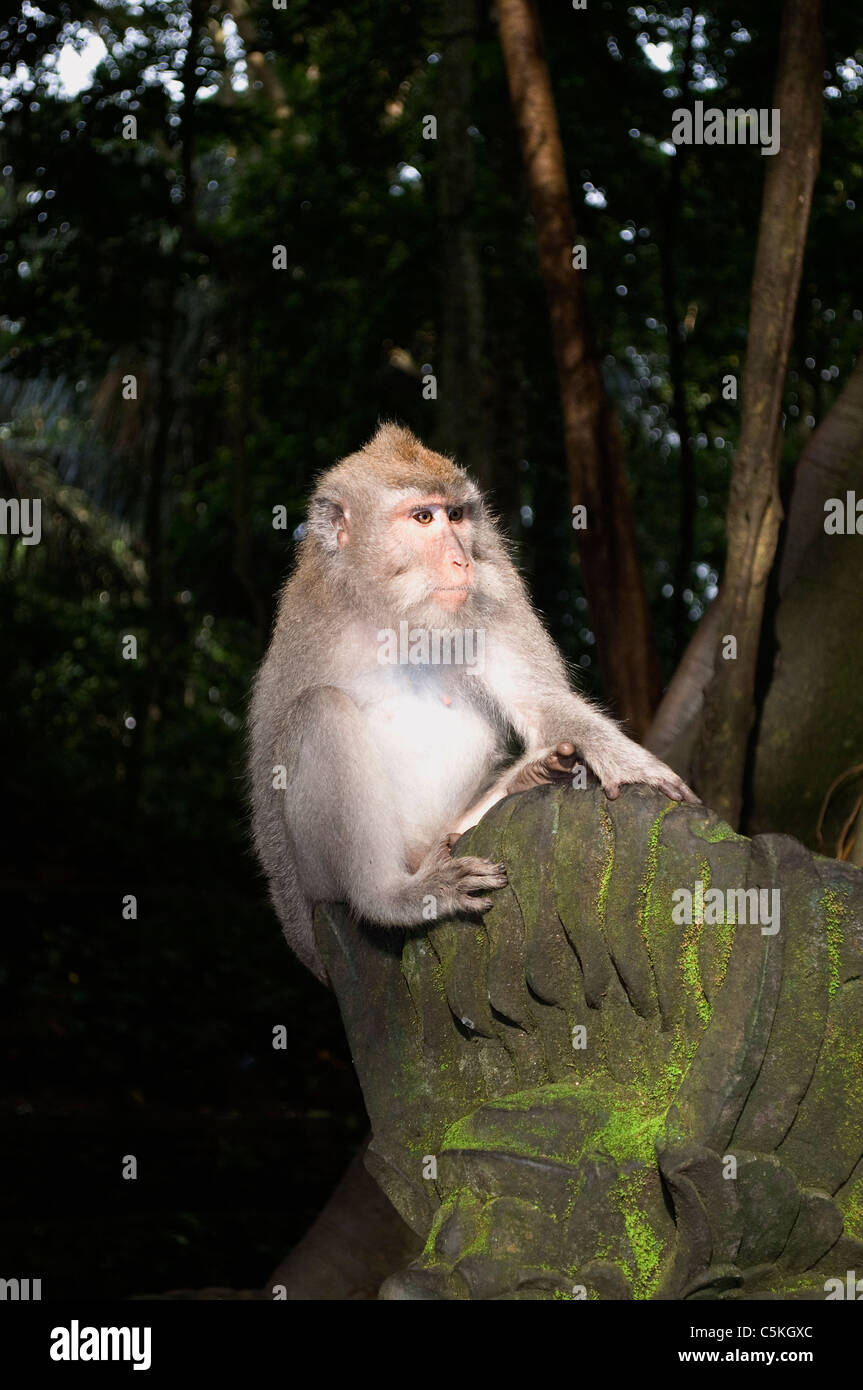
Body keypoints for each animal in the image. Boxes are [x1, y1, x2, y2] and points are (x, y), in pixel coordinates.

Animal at [247, 422, 692, 978]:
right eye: (423, 517)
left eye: (456, 515)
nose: (461, 559)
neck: (401, 618)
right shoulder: (305, 623)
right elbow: (269, 777)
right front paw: (311, 948)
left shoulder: (495, 589)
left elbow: (540, 700)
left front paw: (627, 764)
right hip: (323, 874)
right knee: (319, 710)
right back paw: (391, 897)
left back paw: (530, 777)